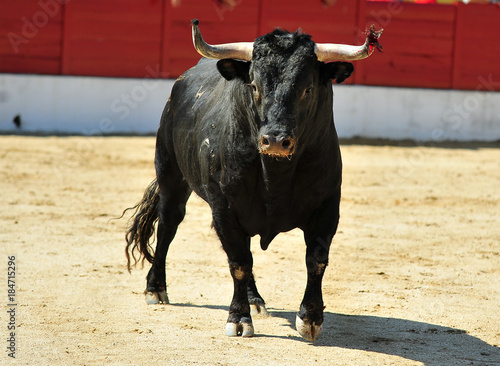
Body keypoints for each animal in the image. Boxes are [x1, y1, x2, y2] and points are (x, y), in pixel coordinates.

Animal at [125, 21, 382, 340]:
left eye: (307, 89)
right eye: (255, 86)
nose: (275, 140)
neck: (276, 175)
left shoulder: (327, 206)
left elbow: (316, 260)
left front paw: (310, 318)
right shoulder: (224, 207)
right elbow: (238, 262)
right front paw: (238, 318)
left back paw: (255, 299)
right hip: (170, 175)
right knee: (168, 226)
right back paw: (156, 288)